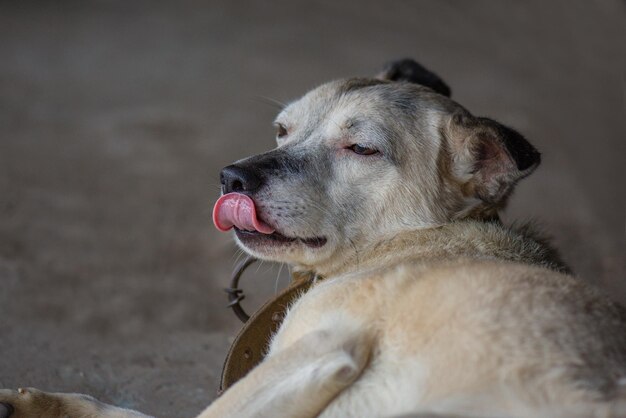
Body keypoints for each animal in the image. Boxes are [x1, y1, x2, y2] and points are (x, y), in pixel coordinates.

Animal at [1, 59, 624, 418]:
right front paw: (42, 405)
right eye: (282, 130)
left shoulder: (319, 346)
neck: (421, 237)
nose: (231, 178)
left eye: (362, 149)